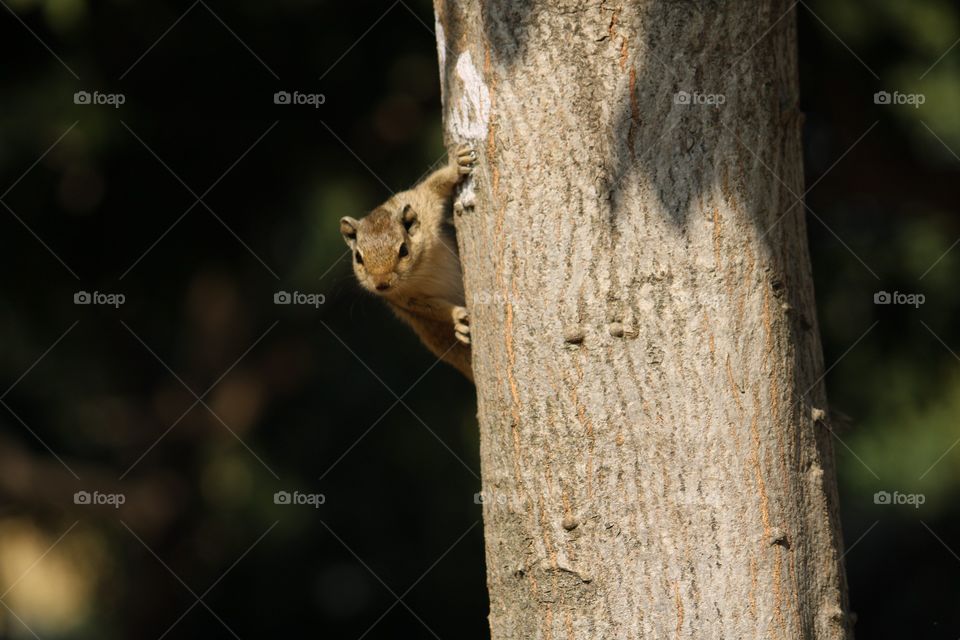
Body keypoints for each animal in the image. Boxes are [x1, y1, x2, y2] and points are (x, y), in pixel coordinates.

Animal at [339, 143, 476, 382]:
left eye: (403, 250)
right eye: (358, 257)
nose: (381, 284)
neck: (419, 269)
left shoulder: (422, 204)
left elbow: (434, 185)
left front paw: (456, 166)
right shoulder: (404, 299)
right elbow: (430, 309)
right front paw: (457, 317)